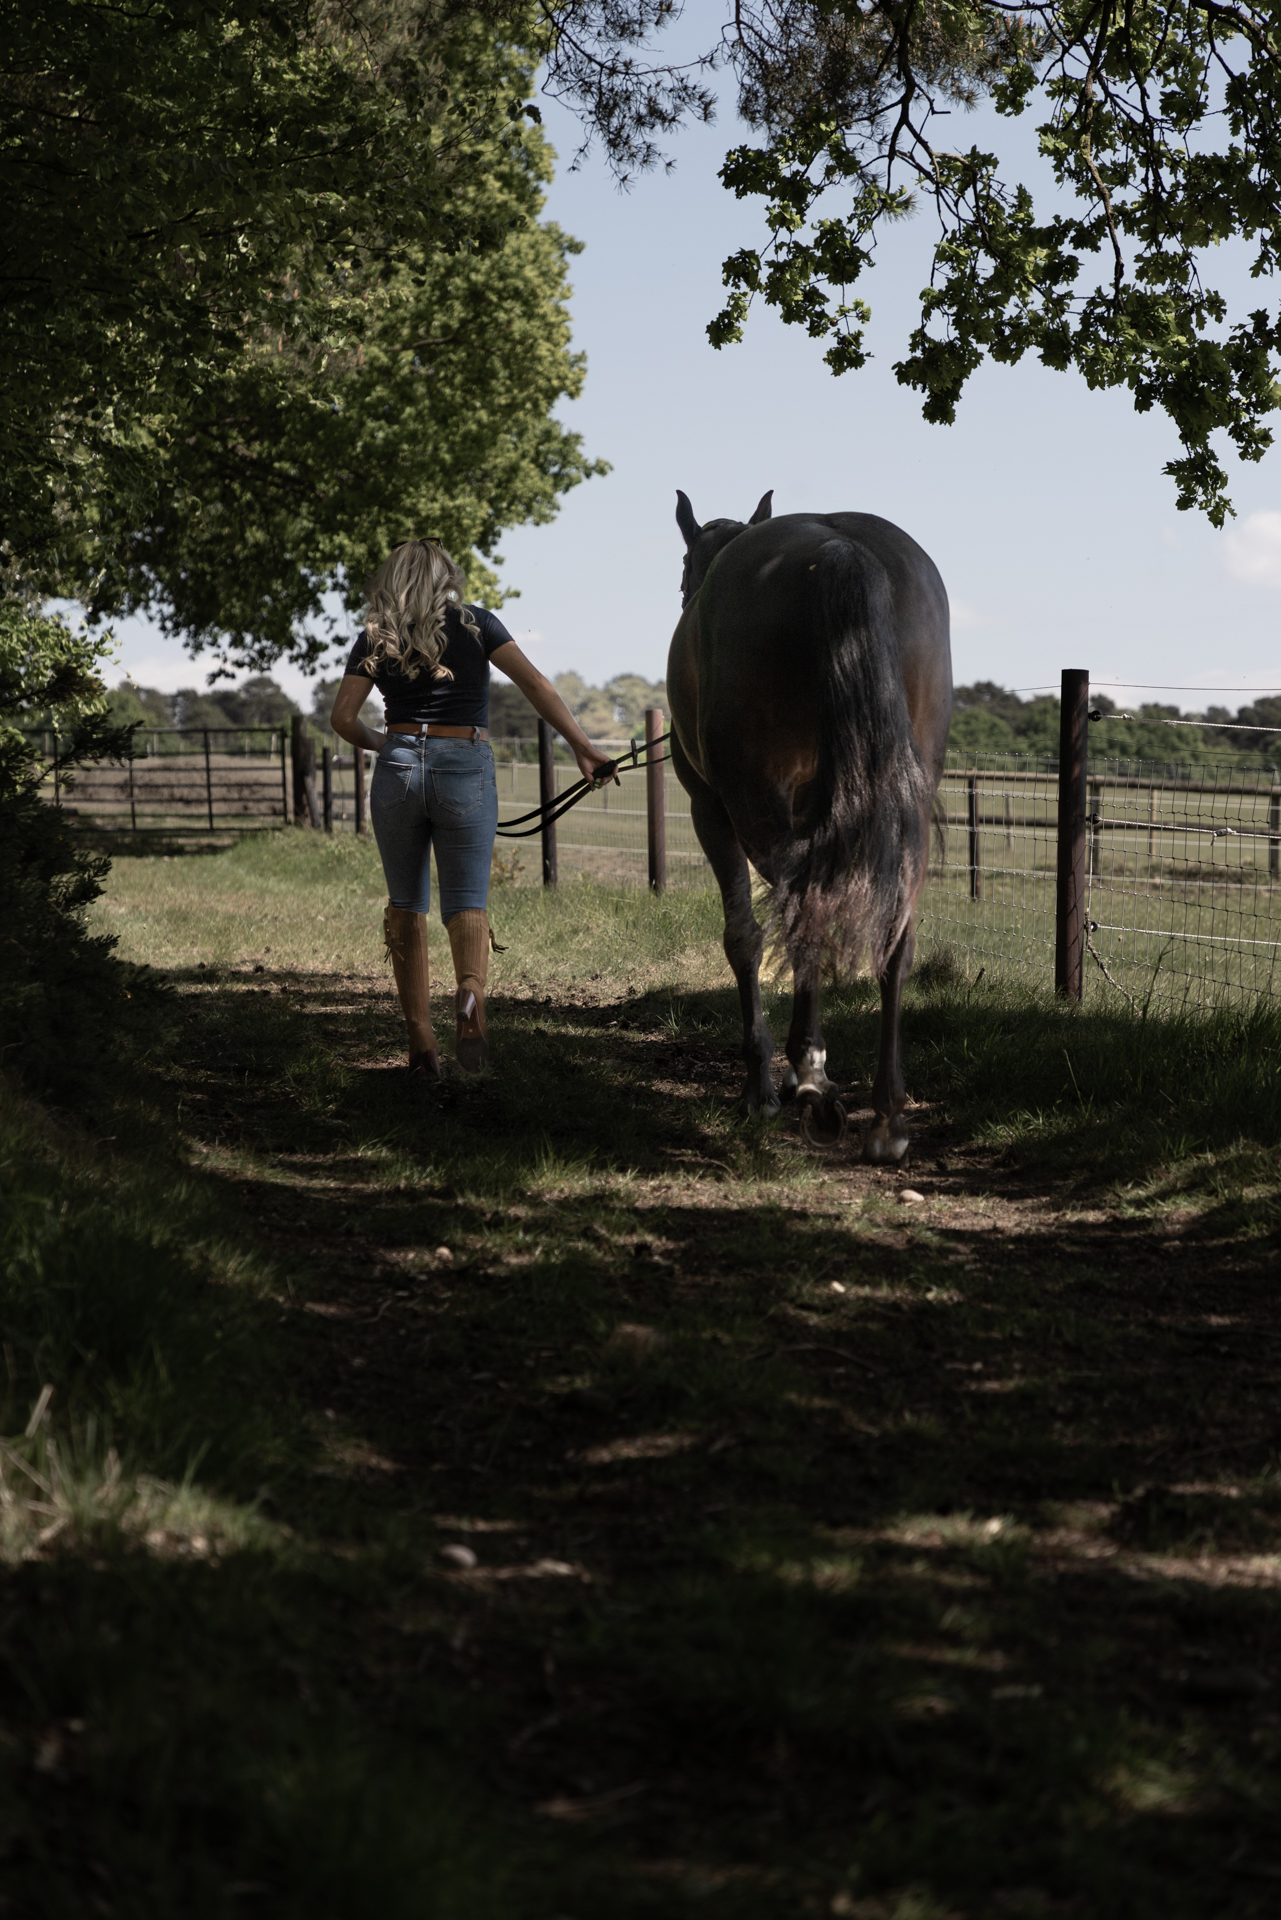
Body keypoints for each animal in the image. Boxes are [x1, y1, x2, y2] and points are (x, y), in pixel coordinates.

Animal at [666, 490, 952, 1161]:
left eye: (685, 570)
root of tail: (835, 545)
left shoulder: (710, 809)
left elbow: (744, 936)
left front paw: (766, 1086)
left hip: (751, 801)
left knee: (802, 912)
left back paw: (810, 1082)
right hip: (904, 803)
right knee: (892, 936)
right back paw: (887, 1116)